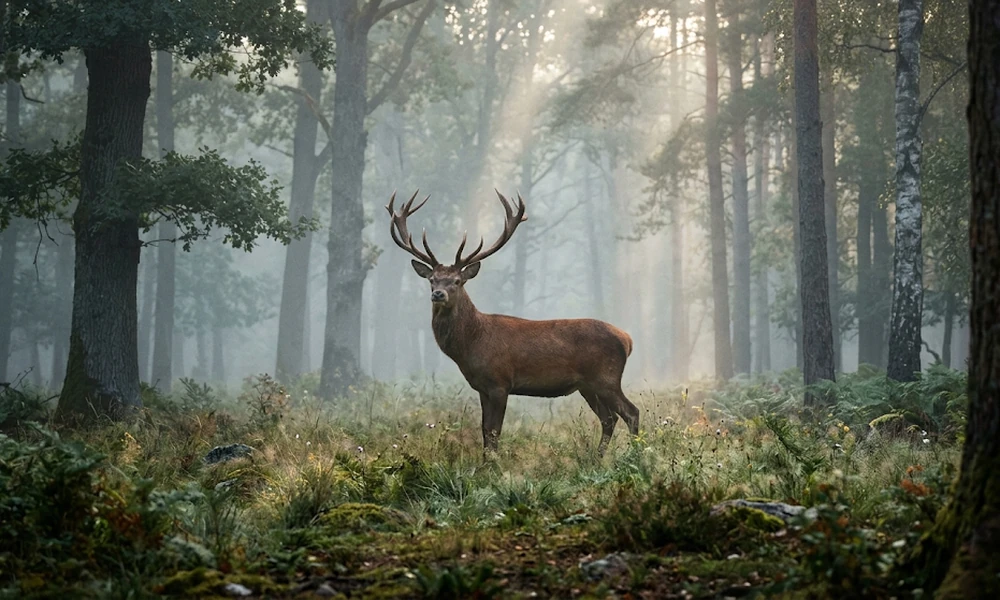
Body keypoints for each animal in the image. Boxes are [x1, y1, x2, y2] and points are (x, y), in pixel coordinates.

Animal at [386, 189, 640, 457]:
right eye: (432, 279)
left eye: (457, 281)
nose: (438, 294)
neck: (471, 345)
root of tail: (627, 339)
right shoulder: (482, 388)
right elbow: (484, 431)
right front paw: (484, 462)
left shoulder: (500, 382)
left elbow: (494, 431)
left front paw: (493, 463)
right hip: (587, 385)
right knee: (609, 418)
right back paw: (597, 458)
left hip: (606, 377)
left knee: (631, 412)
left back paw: (634, 455)